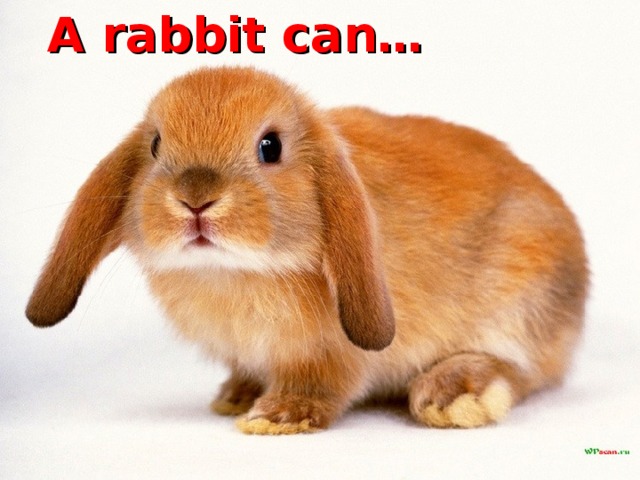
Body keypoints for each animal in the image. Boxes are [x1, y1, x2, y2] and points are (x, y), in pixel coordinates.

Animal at [26, 67, 588, 434]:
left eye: (270, 147)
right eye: (156, 145)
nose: (195, 199)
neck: (233, 272)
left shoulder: (330, 354)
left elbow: (323, 383)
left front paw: (277, 417)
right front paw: (238, 398)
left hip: (520, 301)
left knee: (522, 370)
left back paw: (452, 396)